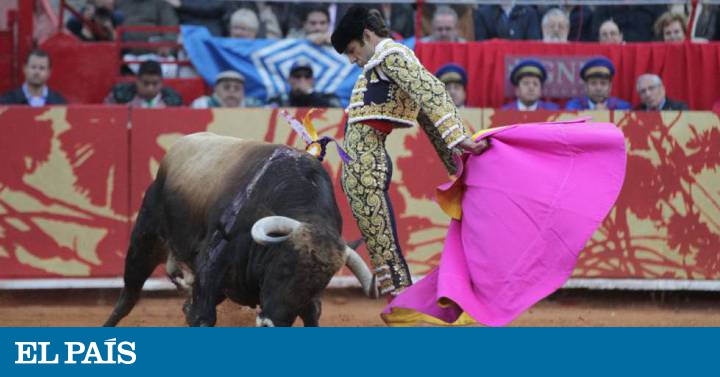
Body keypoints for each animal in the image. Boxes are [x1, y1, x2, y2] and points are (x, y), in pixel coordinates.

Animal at [106, 132, 380, 326]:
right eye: (284, 266)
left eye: (321, 284)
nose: (271, 323)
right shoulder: (211, 268)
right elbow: (202, 317)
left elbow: (312, 315)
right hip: (145, 238)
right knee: (127, 298)